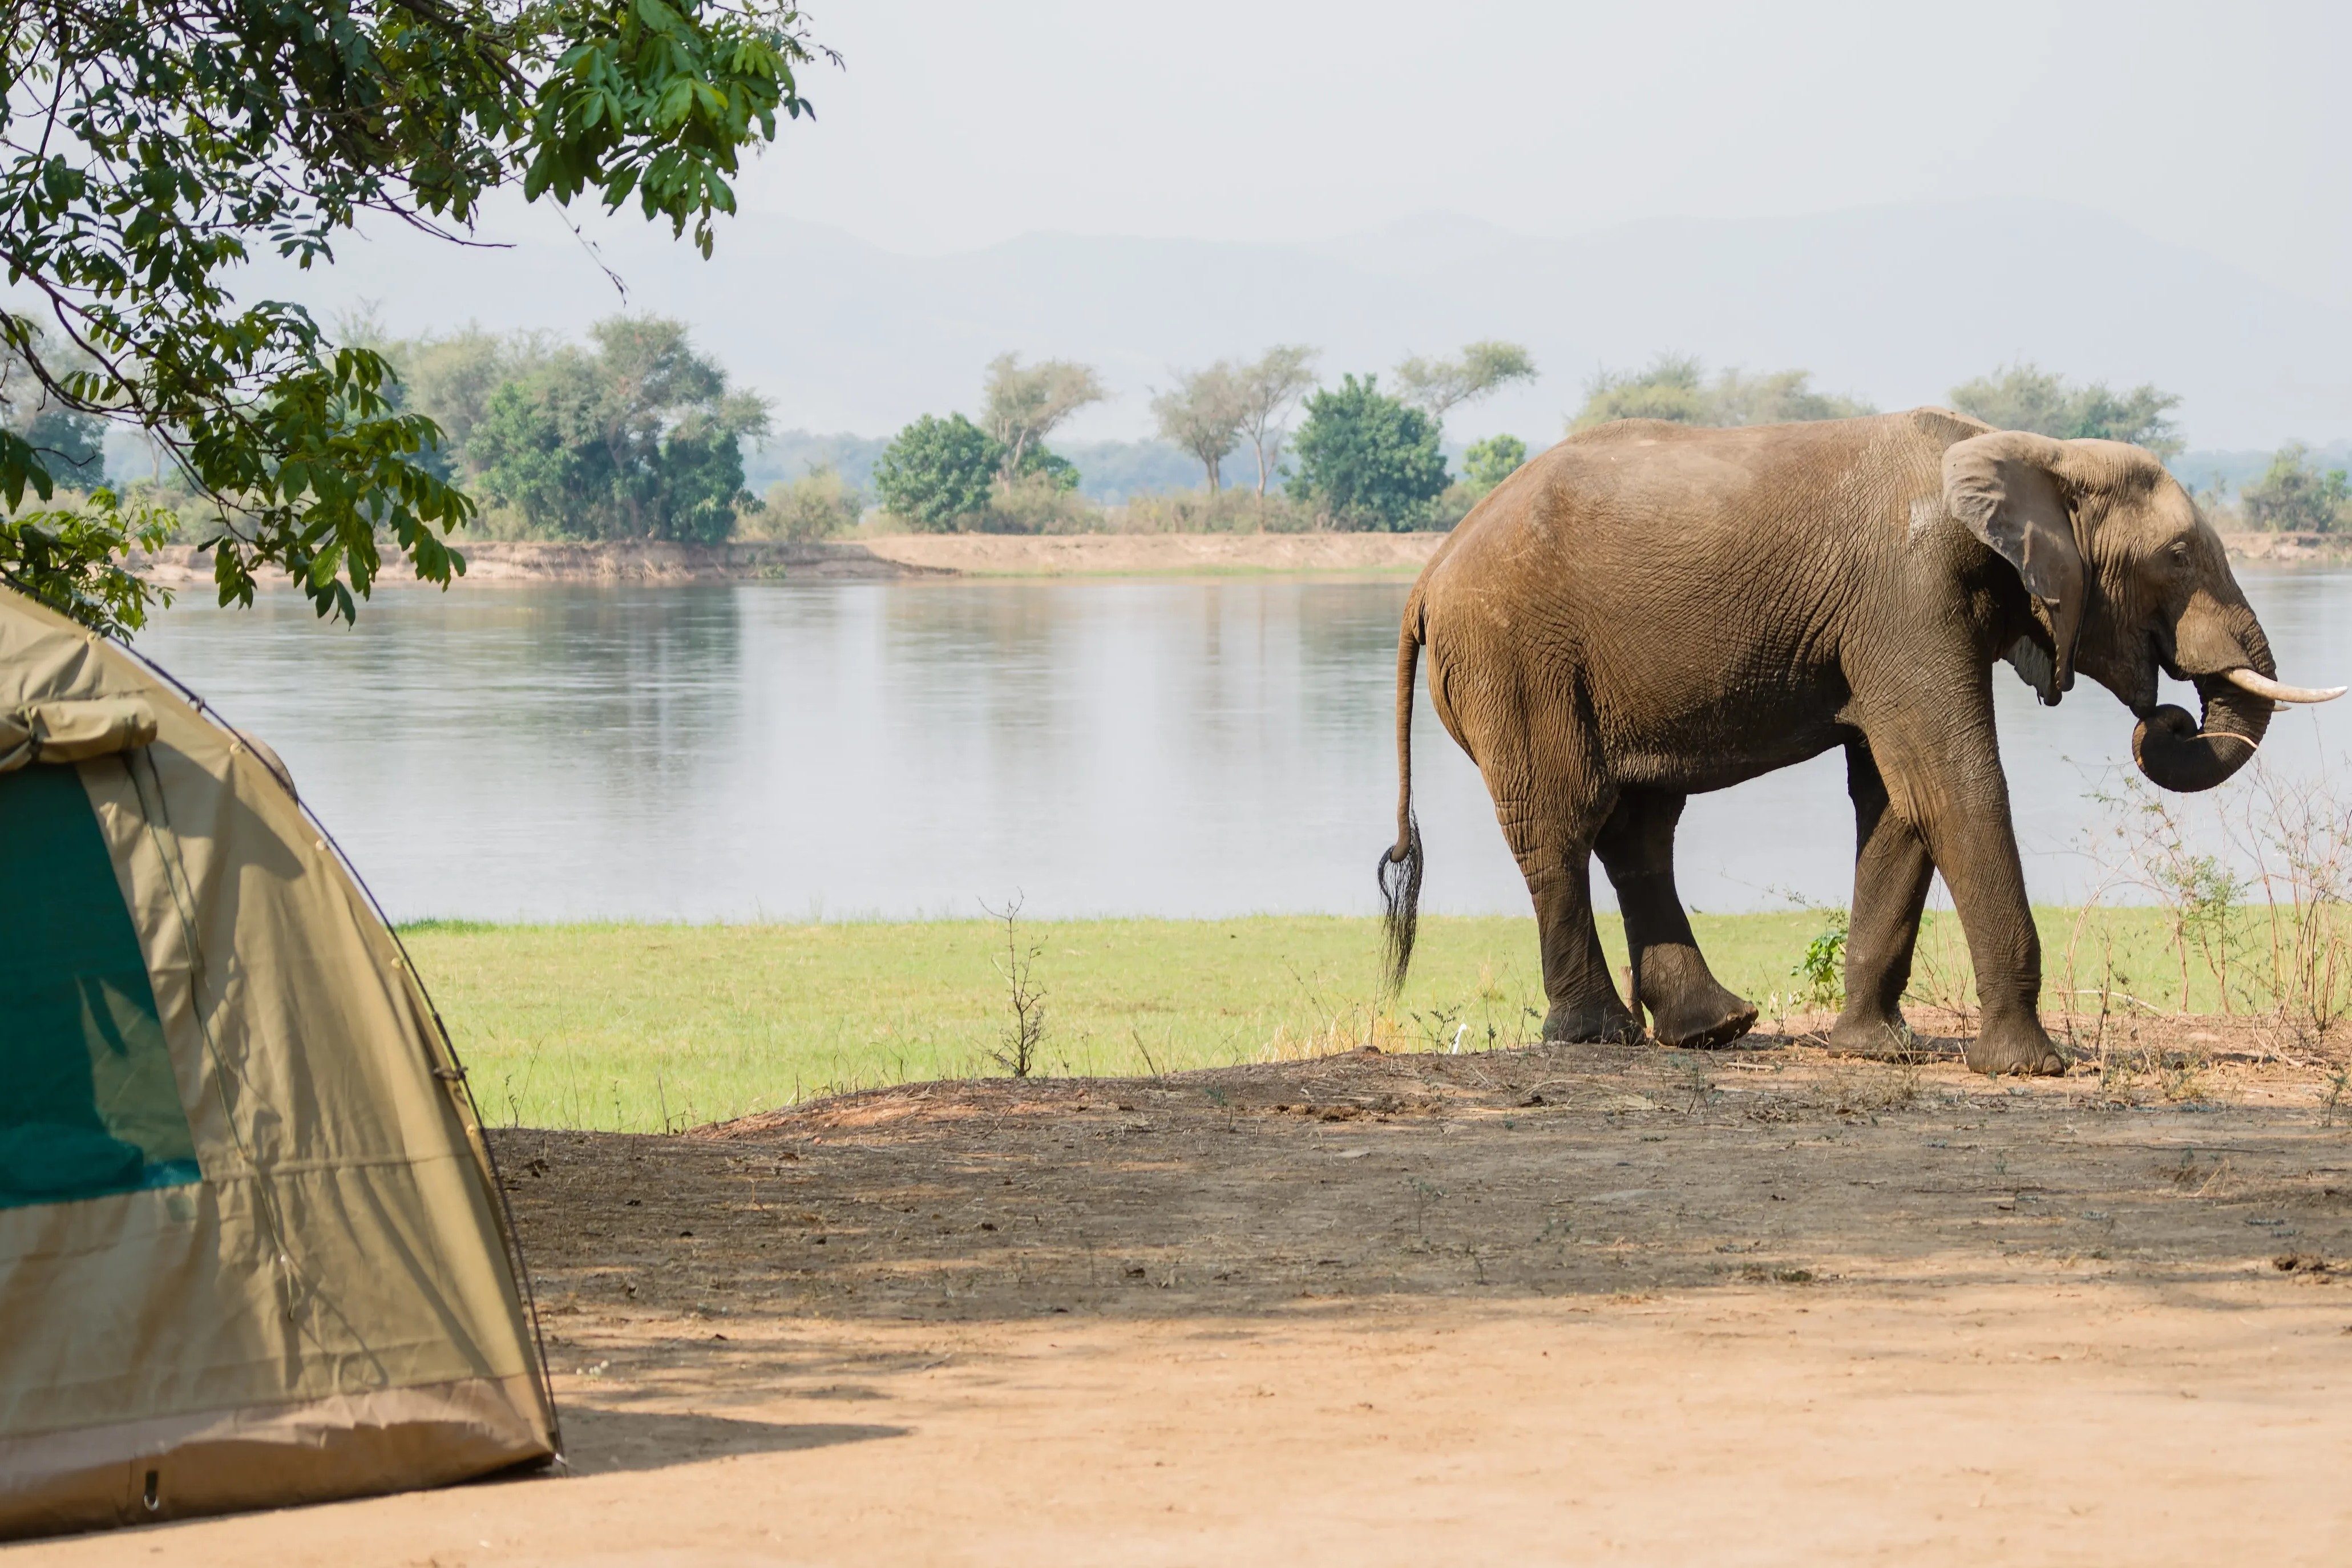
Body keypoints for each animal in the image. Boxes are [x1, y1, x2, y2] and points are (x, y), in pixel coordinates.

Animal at [1378, 408, 2343, 1075]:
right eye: (2177, 557)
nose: (2166, 717)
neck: (2024, 450)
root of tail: (1426, 573)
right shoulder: (1907, 595)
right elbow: (1951, 781)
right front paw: (2030, 1068)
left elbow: (1895, 798)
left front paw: (1875, 1051)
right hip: (1516, 657)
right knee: (1562, 821)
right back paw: (1600, 1037)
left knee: (1641, 828)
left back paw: (1715, 1029)